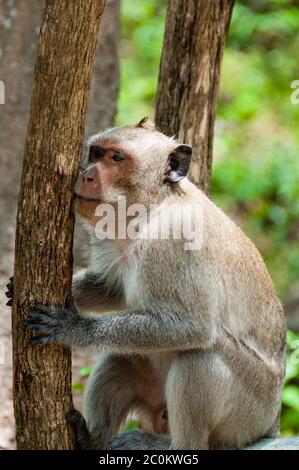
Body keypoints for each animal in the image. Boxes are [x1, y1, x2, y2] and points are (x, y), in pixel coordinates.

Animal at [8, 117, 286, 448]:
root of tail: (272, 423)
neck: (151, 208)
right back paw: (92, 440)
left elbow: (191, 326)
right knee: (120, 359)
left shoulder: (175, 239)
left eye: (117, 158)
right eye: (96, 153)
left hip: (248, 415)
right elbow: (114, 288)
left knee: (202, 353)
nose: (87, 175)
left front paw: (74, 327)